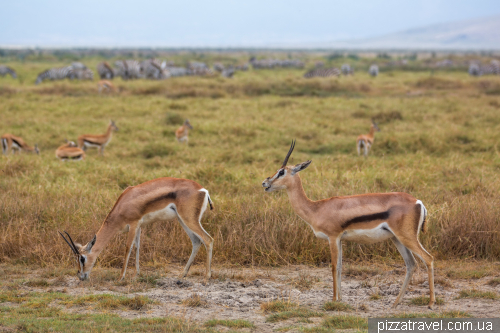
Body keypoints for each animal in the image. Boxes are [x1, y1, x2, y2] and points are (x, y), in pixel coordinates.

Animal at [59, 176, 215, 280]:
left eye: (82, 258)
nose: (81, 276)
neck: (123, 205)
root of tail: (203, 190)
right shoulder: (139, 226)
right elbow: (137, 247)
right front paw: (136, 274)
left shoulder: (133, 224)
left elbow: (128, 248)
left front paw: (121, 276)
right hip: (182, 220)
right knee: (196, 241)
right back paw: (182, 274)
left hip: (189, 220)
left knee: (208, 239)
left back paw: (207, 277)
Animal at [262, 139, 434, 306]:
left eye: (281, 171)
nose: (265, 183)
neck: (316, 208)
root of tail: (418, 202)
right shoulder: (340, 239)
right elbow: (339, 267)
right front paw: (340, 299)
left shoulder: (333, 237)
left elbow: (333, 267)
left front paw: (333, 300)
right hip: (396, 239)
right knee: (411, 264)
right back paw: (395, 303)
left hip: (407, 237)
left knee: (428, 258)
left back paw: (431, 303)